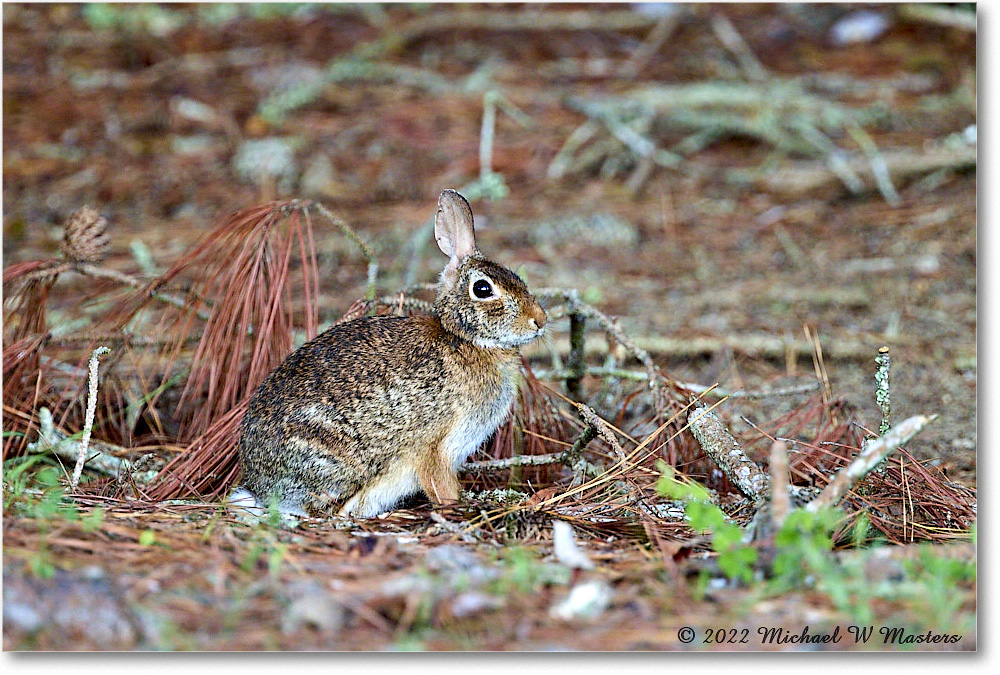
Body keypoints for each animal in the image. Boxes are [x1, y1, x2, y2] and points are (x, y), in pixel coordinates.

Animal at [234, 189, 548, 516]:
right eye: (483, 289)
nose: (539, 320)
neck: (462, 339)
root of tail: (260, 487)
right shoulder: (436, 445)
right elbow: (440, 484)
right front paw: (458, 505)